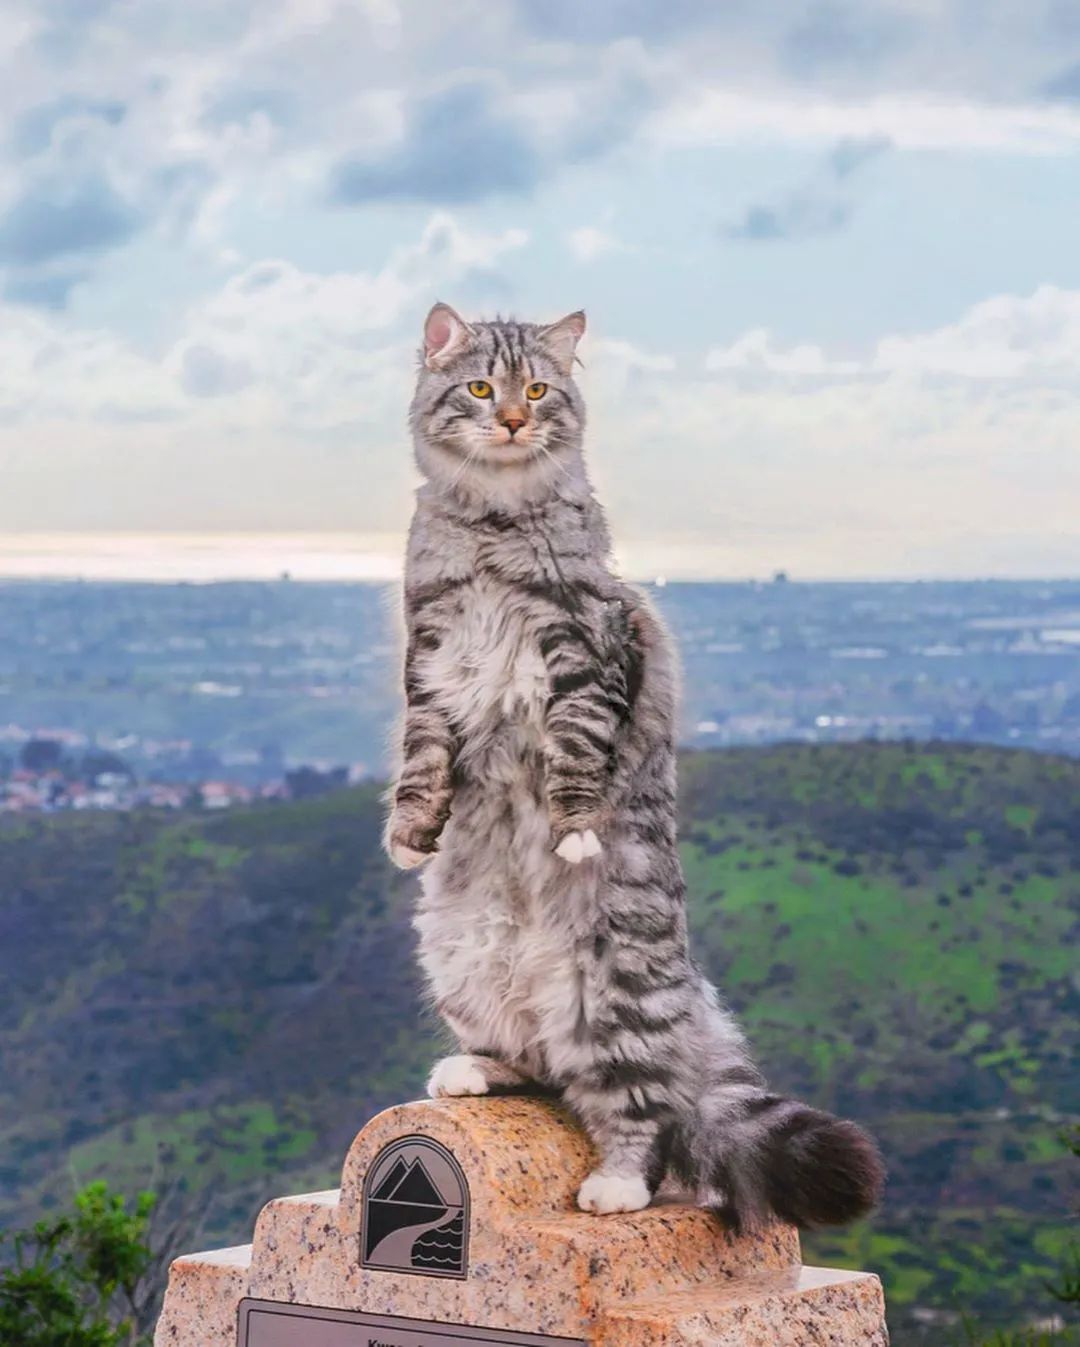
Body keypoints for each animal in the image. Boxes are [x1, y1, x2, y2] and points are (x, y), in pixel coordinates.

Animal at [387, 305, 883, 1233]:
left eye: (538, 389)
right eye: (481, 387)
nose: (515, 421)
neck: (493, 528)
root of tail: (692, 1019)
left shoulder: (587, 656)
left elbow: (575, 756)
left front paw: (575, 830)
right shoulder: (429, 666)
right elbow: (420, 763)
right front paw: (408, 836)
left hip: (613, 995)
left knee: (637, 1114)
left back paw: (614, 1186)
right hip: (462, 961)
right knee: (539, 1071)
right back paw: (473, 1071)